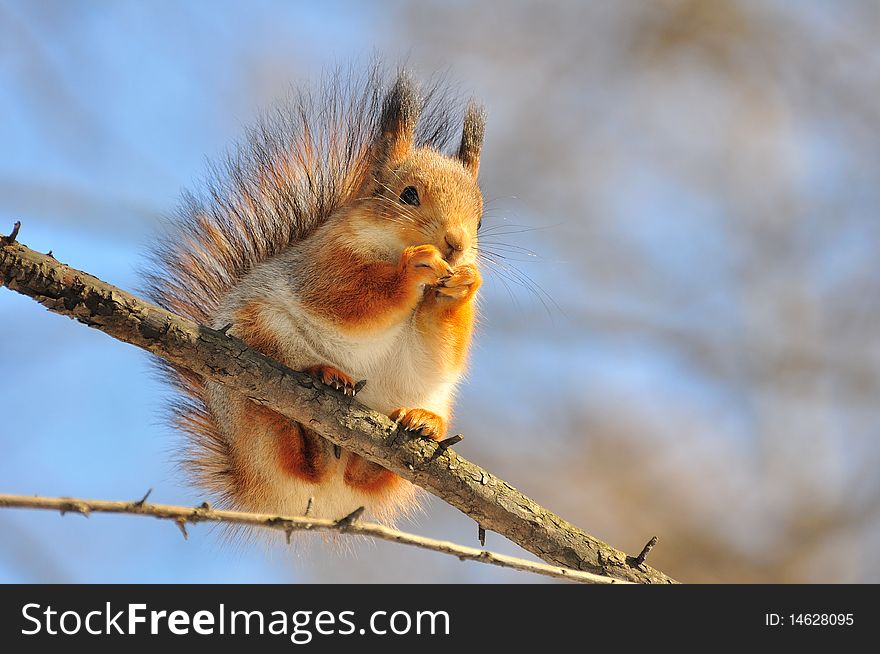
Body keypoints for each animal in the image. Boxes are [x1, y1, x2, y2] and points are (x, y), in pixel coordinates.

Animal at [145, 69, 488, 524]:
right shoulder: (324, 265)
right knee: (287, 448)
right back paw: (315, 391)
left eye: (480, 219)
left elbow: (443, 347)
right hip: (257, 341)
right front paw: (412, 267)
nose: (455, 244)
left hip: (428, 399)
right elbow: (348, 302)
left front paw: (463, 283)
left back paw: (419, 423)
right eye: (409, 195)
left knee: (365, 475)